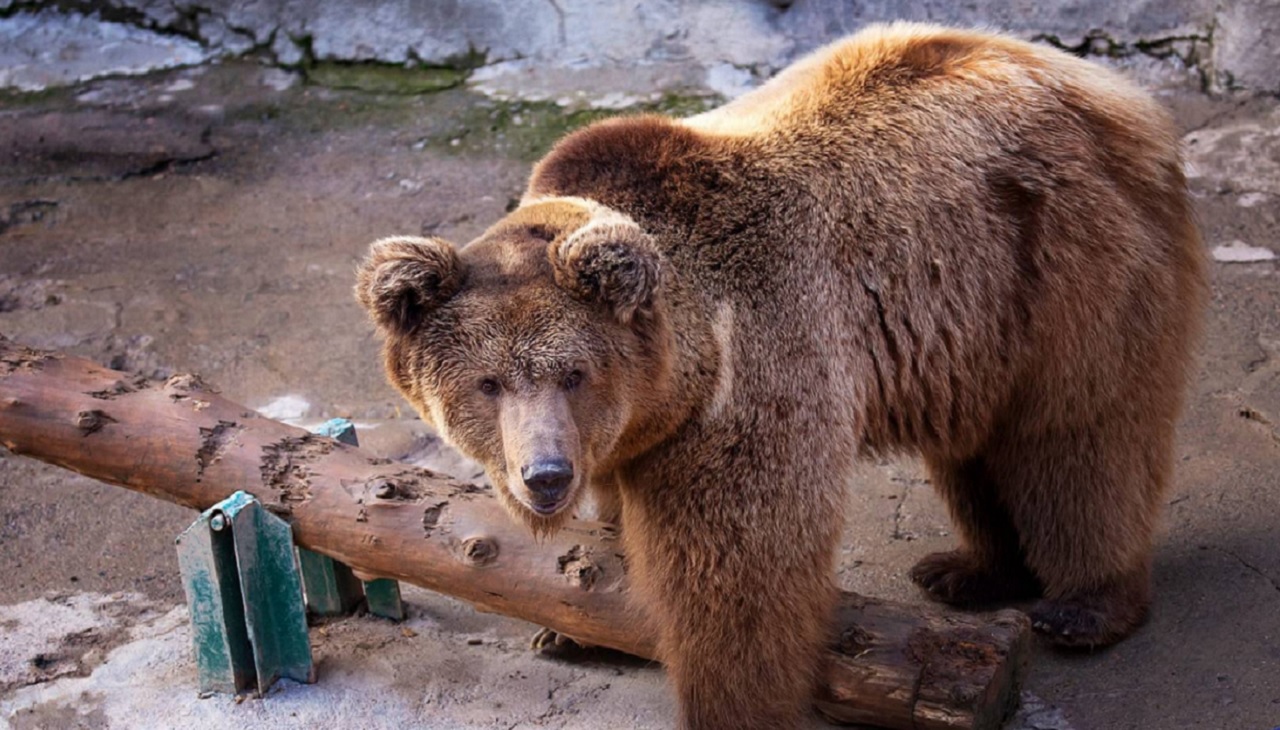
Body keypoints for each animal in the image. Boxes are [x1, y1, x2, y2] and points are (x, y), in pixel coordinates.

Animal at [355, 22, 1206, 730]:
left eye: (573, 373)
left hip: (1057, 265)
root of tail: (1113, 93)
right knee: (976, 445)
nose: (545, 475)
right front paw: (567, 624)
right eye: (487, 383)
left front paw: (730, 701)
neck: (677, 374)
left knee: (1080, 433)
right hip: (972, 330)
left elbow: (743, 568)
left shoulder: (756, 367)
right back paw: (972, 569)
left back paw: (1082, 604)